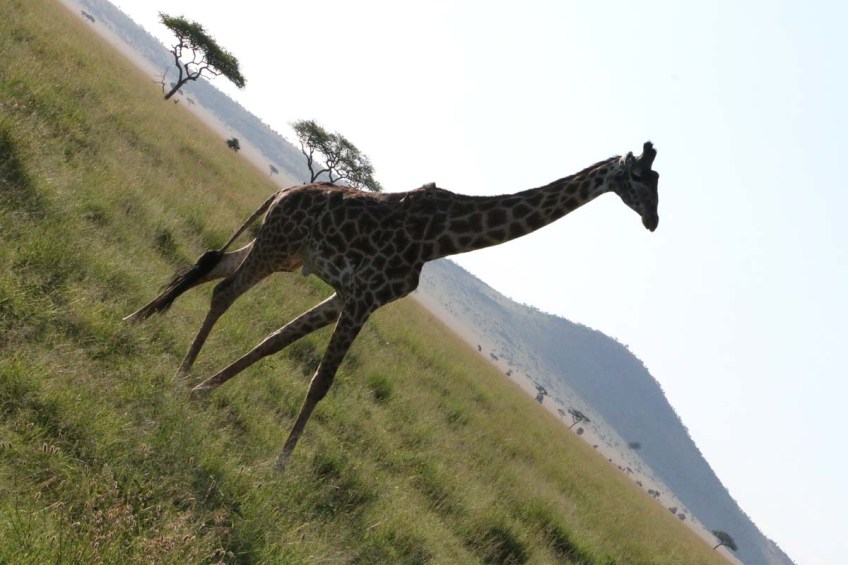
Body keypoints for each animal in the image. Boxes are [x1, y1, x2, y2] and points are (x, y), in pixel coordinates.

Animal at [125, 141, 660, 469]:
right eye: (638, 178)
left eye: (658, 182)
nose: (654, 221)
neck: (441, 239)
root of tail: (285, 189)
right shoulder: (363, 296)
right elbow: (320, 383)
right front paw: (278, 464)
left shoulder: (354, 295)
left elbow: (274, 341)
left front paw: (205, 391)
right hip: (277, 245)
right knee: (223, 291)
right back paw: (177, 368)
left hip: (283, 250)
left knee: (212, 263)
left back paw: (136, 321)